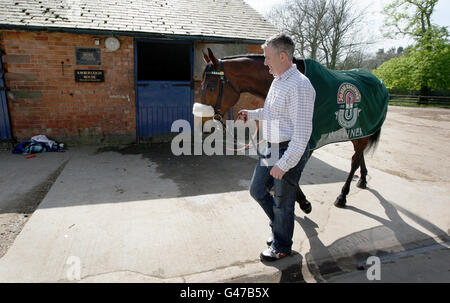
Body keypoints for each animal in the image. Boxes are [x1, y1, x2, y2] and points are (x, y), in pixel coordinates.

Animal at [199, 48, 382, 211]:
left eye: (211, 87)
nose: (202, 122)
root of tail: (378, 81)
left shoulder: (305, 142)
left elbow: (291, 170)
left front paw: (303, 202)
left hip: (362, 132)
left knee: (354, 161)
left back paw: (342, 196)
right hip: (359, 131)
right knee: (359, 156)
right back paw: (363, 180)